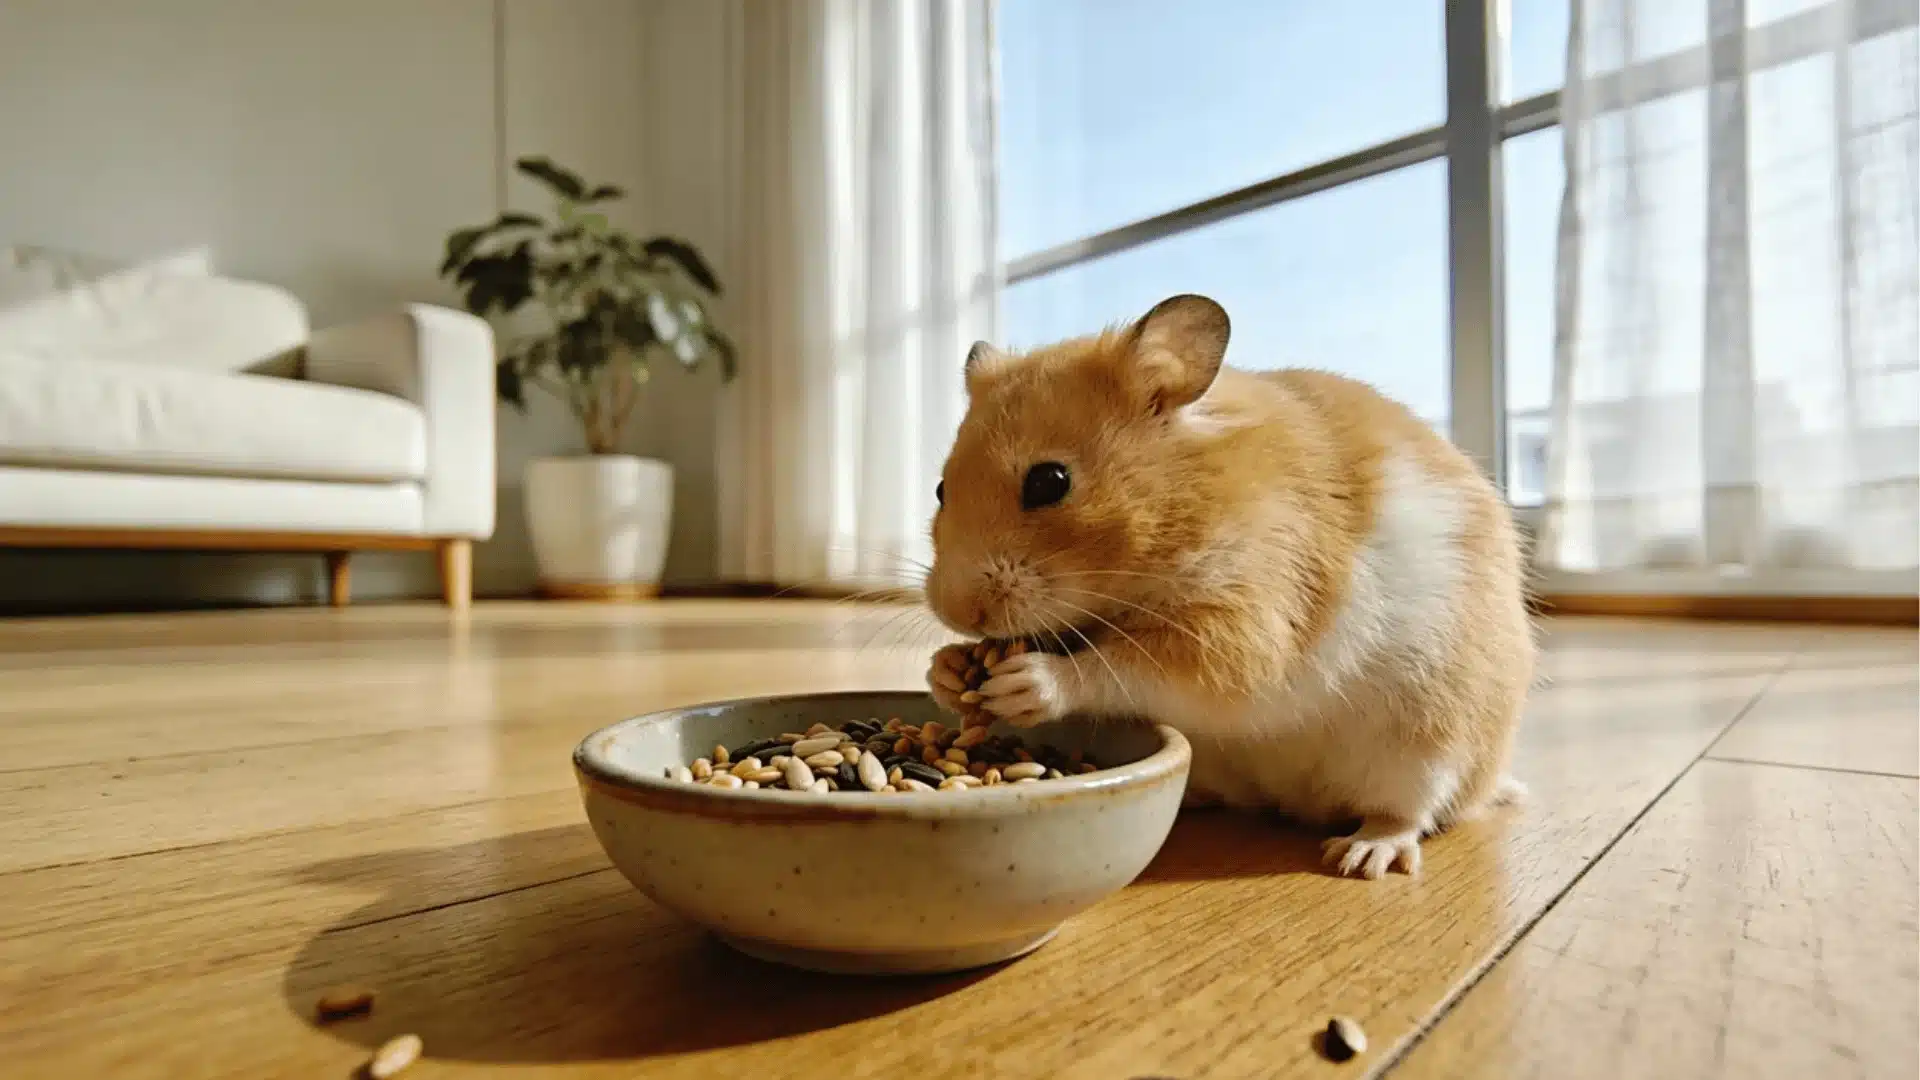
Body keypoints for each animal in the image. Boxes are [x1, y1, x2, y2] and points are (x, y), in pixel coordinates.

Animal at [922, 294, 1531, 879]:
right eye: (940, 489)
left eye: (1050, 481)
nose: (960, 612)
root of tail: (1294, 803)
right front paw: (947, 671)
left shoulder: (1241, 626)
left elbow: (1120, 669)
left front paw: (1024, 681)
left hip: (1430, 745)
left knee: (1410, 812)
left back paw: (1362, 856)